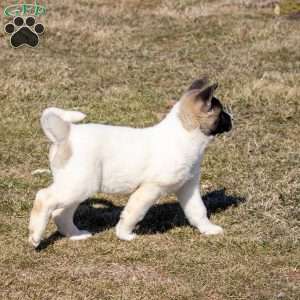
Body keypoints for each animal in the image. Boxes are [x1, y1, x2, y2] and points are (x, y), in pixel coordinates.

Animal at [28, 78, 232, 248]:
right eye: (221, 113)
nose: (232, 118)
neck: (183, 135)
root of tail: (67, 132)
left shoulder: (188, 187)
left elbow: (198, 211)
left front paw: (208, 229)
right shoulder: (150, 189)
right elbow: (134, 213)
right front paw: (124, 234)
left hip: (77, 187)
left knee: (60, 214)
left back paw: (75, 234)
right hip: (77, 186)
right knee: (44, 198)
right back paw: (35, 236)